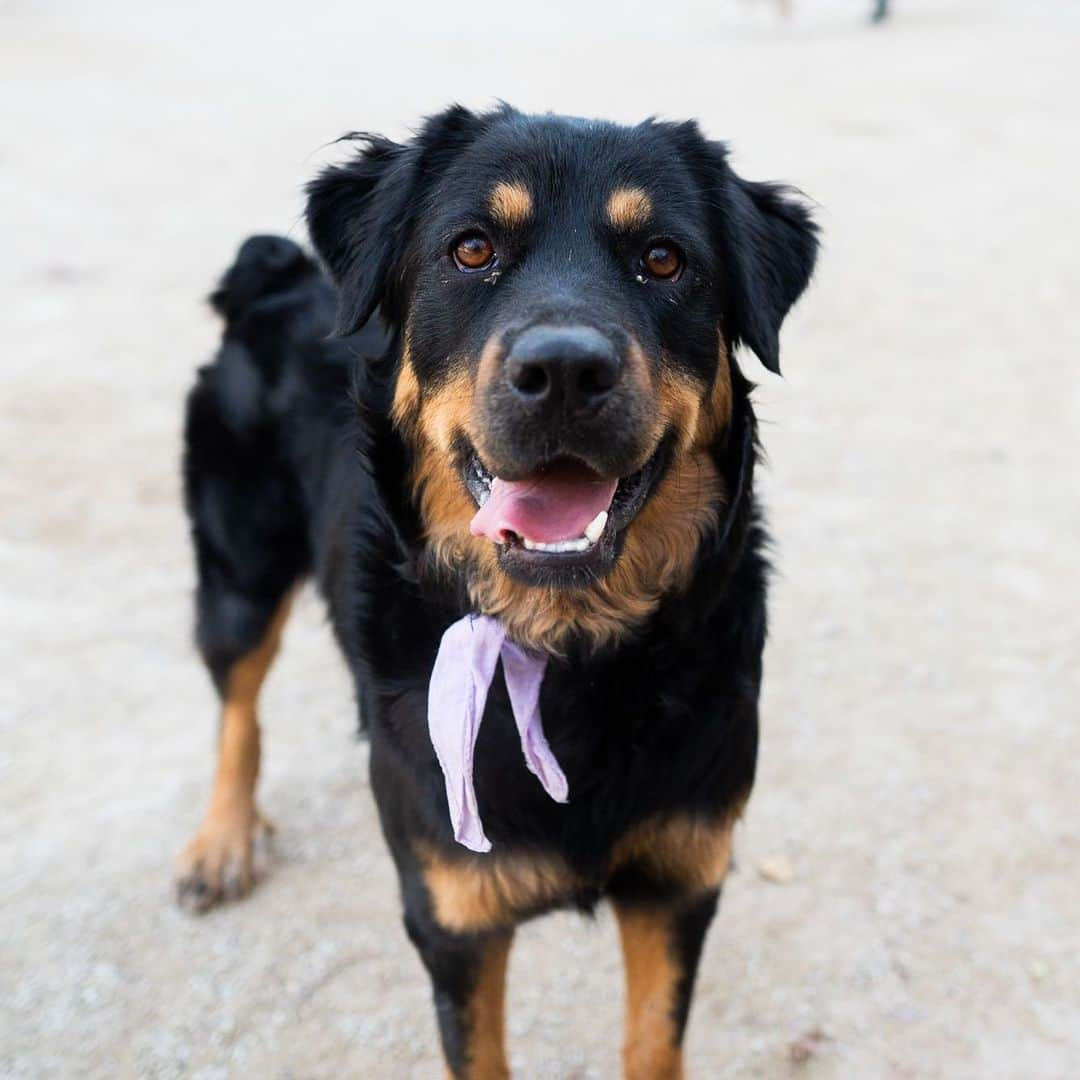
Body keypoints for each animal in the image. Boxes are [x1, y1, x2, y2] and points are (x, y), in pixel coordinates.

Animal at [177, 103, 816, 1080]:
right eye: (472, 249)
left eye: (664, 259)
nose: (566, 372)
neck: (567, 647)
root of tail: (275, 275)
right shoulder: (453, 920)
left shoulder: (680, 881)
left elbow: (652, 1044)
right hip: (238, 571)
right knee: (237, 703)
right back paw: (221, 840)